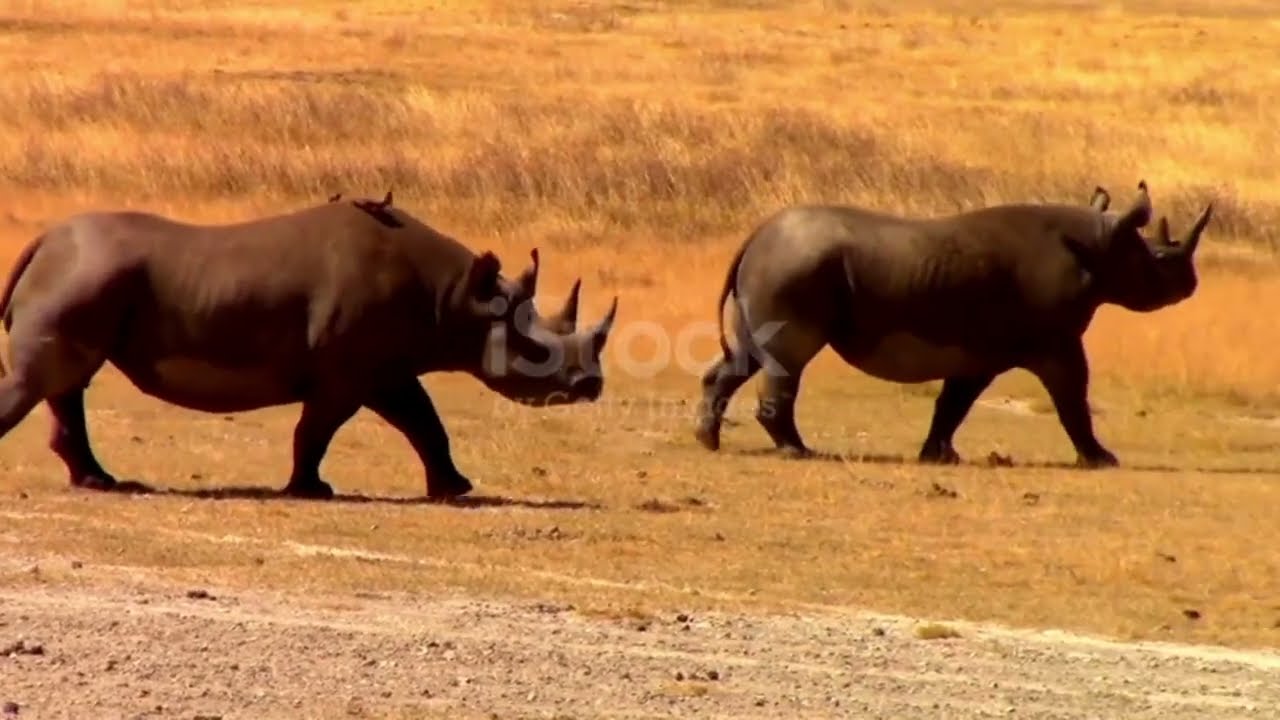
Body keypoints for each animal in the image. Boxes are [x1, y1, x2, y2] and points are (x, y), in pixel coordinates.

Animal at [0, 194, 617, 499]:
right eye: (536, 353)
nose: (591, 385)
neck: (459, 297)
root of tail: (43, 242)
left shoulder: (384, 366)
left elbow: (423, 420)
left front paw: (455, 489)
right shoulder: (347, 370)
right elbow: (318, 429)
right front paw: (311, 490)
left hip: (86, 277)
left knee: (68, 381)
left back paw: (99, 482)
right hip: (85, 276)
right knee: (46, 379)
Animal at [694, 181, 1213, 468]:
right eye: (1159, 262)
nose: (1190, 284)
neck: (1101, 245)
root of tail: (756, 235)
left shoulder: (980, 349)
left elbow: (953, 404)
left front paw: (939, 456)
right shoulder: (1053, 340)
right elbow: (1072, 398)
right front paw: (1102, 460)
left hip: (781, 264)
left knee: (746, 358)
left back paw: (708, 441)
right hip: (796, 266)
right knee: (788, 359)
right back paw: (798, 452)